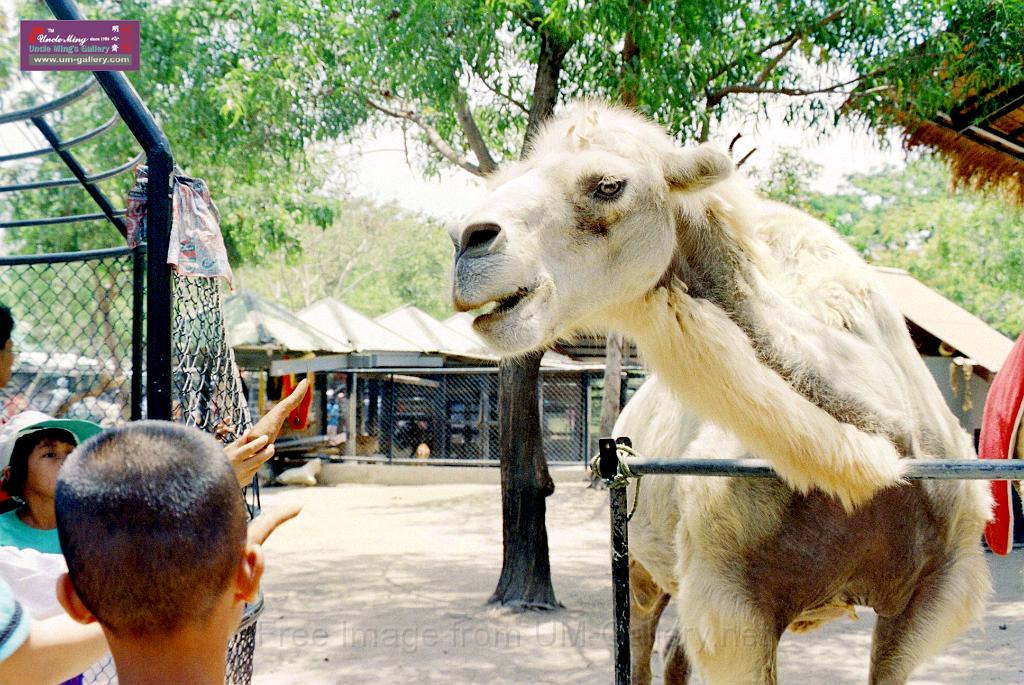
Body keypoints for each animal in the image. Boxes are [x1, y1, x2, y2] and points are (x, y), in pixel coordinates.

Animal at [449, 103, 993, 684]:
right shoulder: (733, 599)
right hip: (641, 560)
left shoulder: (929, 597)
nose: (466, 241)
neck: (887, 453)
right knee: (640, 647)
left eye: (609, 184)